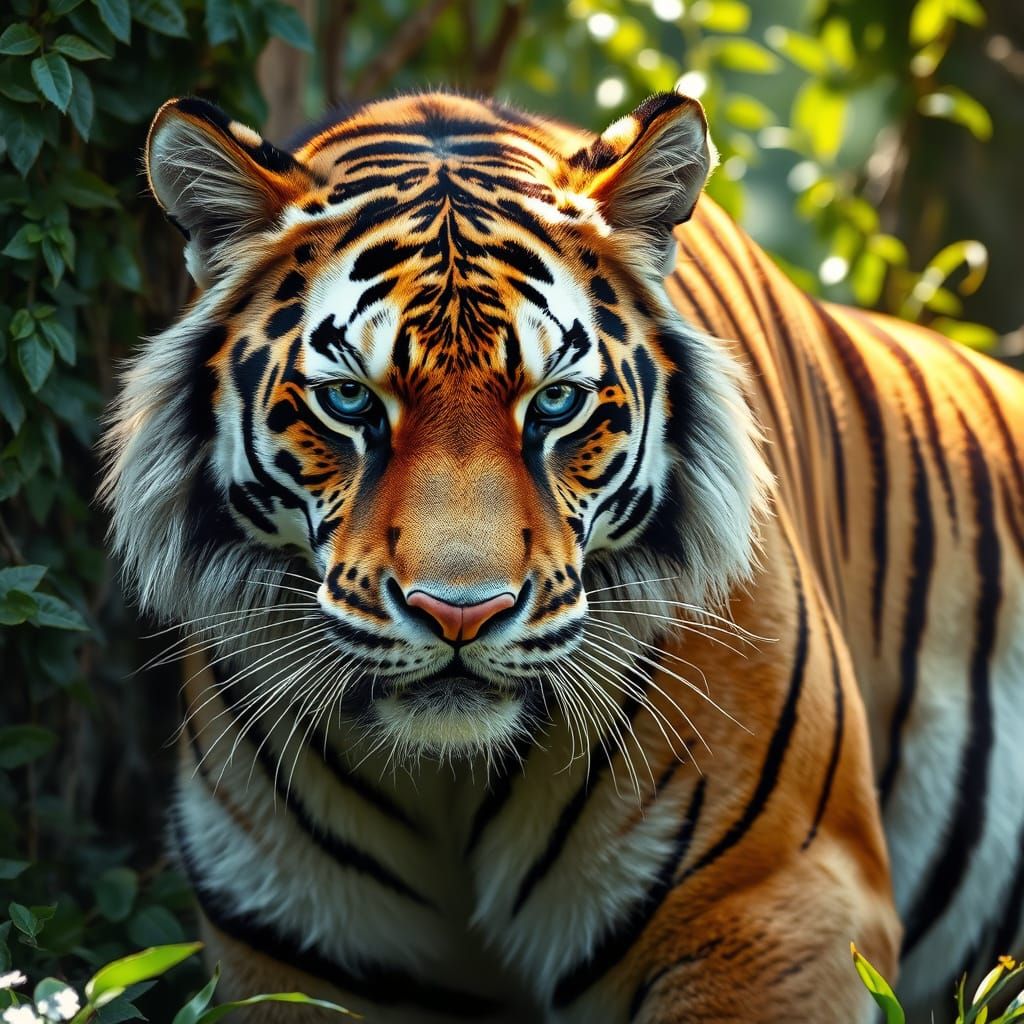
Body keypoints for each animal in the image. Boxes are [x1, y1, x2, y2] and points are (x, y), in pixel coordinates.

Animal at [99, 87, 1024, 1023]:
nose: (459, 614)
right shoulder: (294, 949)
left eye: (555, 404)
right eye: (351, 400)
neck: (450, 777)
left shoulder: (768, 901)